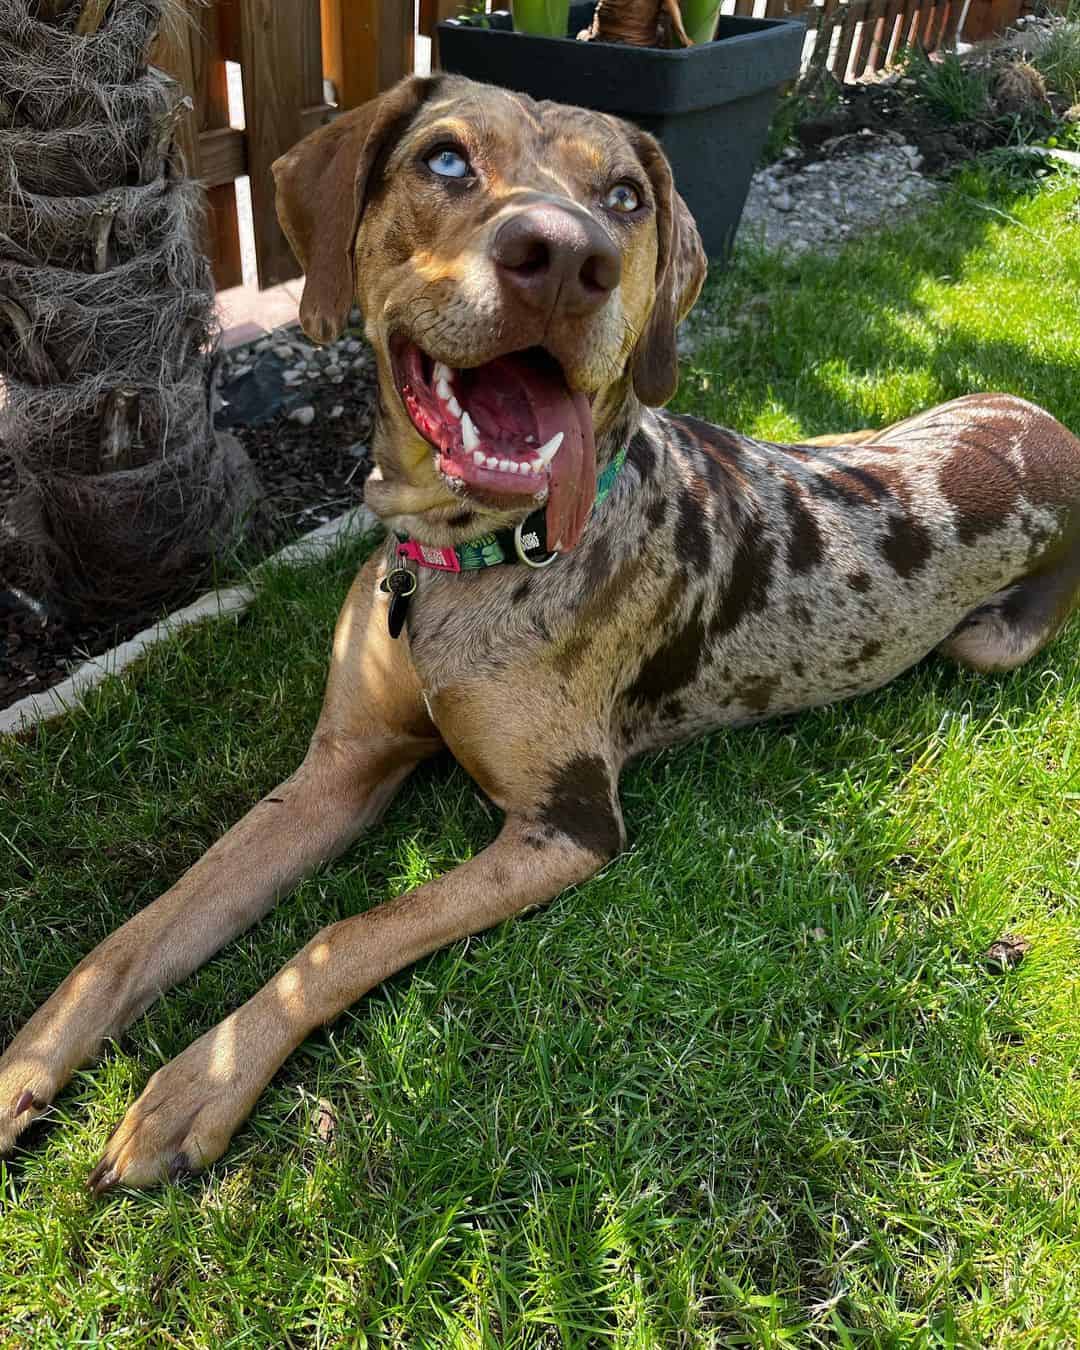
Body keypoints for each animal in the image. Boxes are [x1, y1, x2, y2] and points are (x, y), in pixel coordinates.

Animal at [2, 76, 1080, 1193]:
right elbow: (142, 930)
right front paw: (26, 1067)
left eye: (625, 197)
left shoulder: (566, 828)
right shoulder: (335, 769)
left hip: (984, 640)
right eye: (443, 159)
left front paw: (194, 1085)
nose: (566, 258)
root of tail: (1048, 421)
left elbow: (346, 933)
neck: (461, 561)